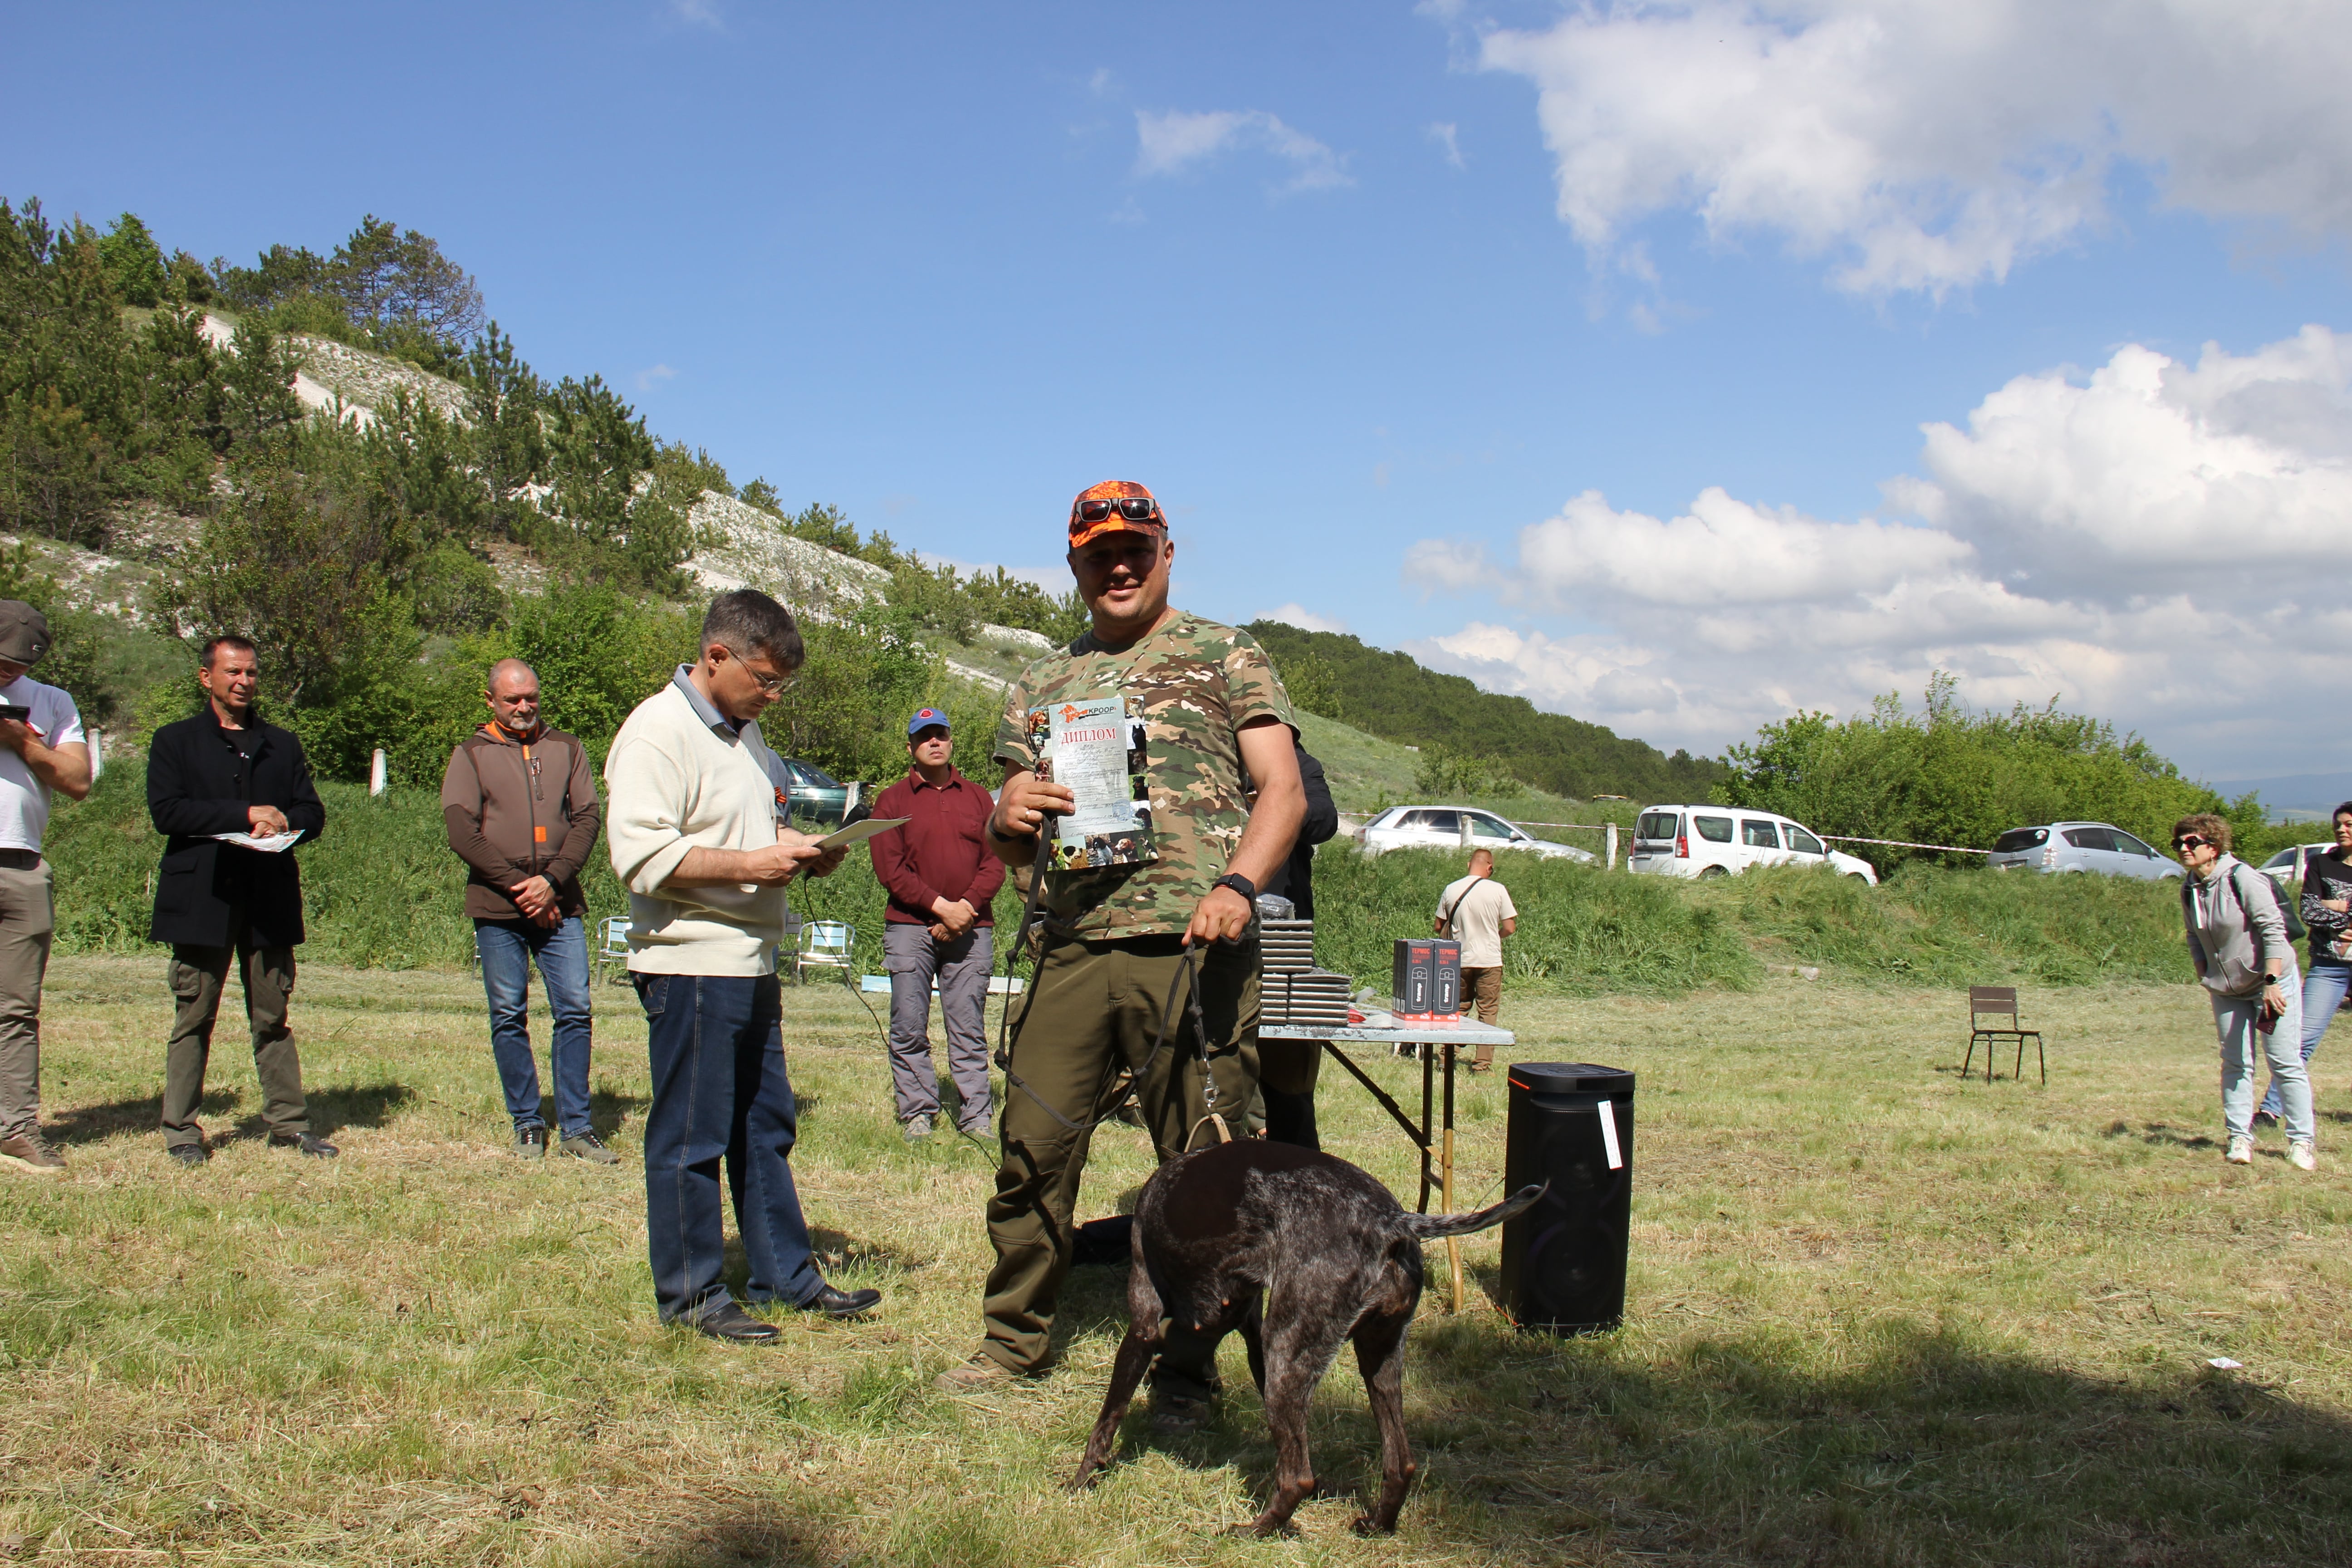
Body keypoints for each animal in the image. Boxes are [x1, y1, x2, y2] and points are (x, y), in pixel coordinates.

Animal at [1070, 1137, 1545, 1535]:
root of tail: (1390, 1222)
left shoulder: (1144, 1326)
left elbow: (1107, 1419)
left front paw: (1080, 1480)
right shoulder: (1255, 1336)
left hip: (1290, 1355)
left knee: (1298, 1477)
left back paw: (1254, 1531)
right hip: (1371, 1358)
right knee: (1401, 1463)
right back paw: (1377, 1525)